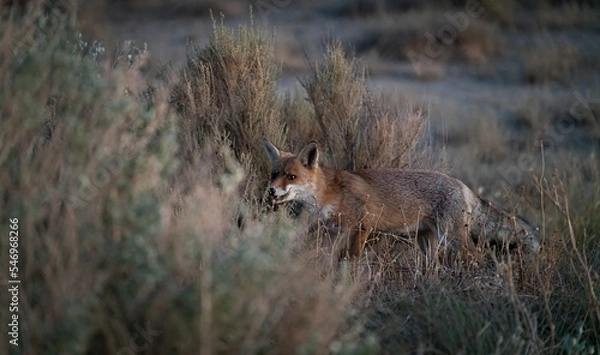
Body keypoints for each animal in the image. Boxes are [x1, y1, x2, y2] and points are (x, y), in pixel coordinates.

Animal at [264, 140, 540, 262]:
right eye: (273, 174)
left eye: (291, 176)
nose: (271, 191)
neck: (328, 194)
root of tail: (463, 185)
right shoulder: (333, 232)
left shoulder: (361, 227)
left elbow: (352, 261)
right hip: (427, 241)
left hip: (451, 237)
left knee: (477, 255)